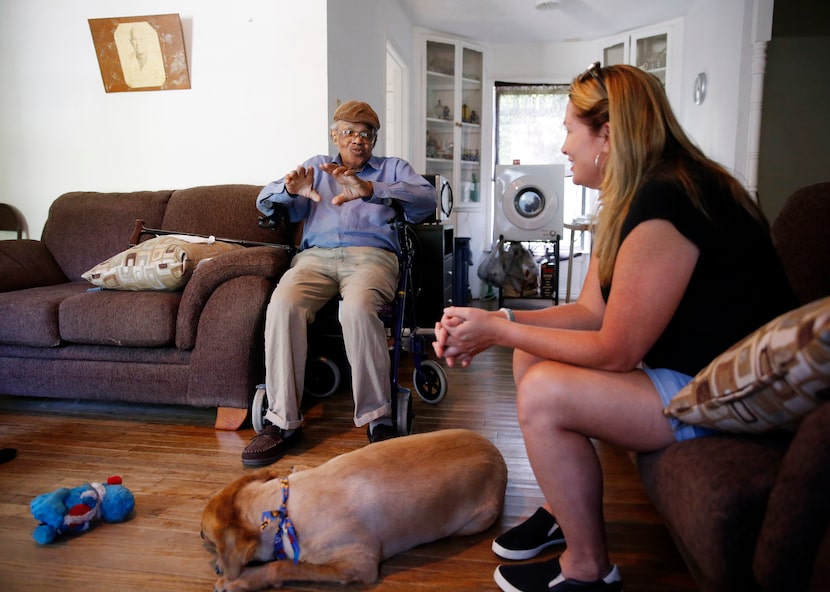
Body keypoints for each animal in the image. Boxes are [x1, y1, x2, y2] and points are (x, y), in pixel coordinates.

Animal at [205, 428, 510, 588]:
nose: (217, 568)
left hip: (475, 522)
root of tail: (498, 453)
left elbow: (283, 567)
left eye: (205, 535)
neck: (283, 510)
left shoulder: (358, 564)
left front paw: (238, 582)